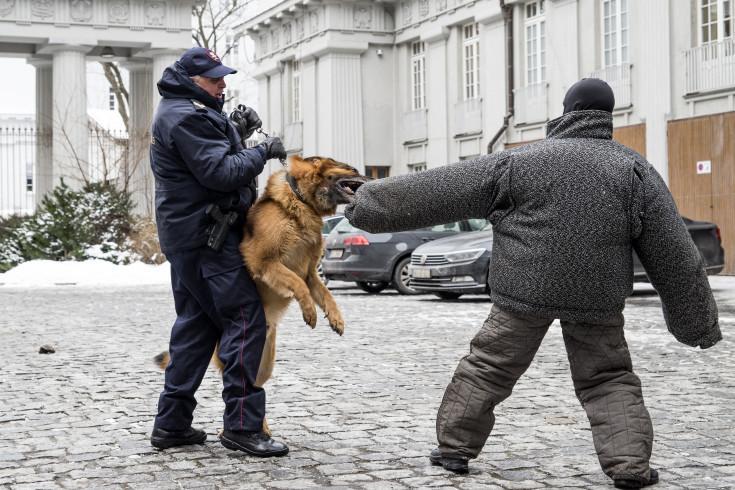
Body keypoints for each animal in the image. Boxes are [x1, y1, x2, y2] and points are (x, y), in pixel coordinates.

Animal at [158, 155, 370, 434]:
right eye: (353, 170)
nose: (374, 179)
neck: (301, 202)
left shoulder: (311, 274)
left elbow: (327, 295)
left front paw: (336, 318)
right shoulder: (265, 263)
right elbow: (297, 285)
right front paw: (310, 312)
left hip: (265, 363)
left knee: (253, 386)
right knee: (234, 385)